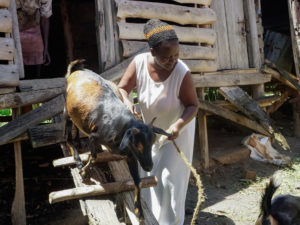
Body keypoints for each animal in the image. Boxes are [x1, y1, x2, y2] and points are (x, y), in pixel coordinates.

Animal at [64, 59, 170, 221]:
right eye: (137, 144)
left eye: (152, 143)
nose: (148, 167)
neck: (120, 127)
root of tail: (76, 69)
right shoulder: (94, 137)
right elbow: (94, 156)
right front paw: (84, 172)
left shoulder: (130, 156)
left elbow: (138, 181)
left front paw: (139, 210)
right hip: (66, 112)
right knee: (67, 138)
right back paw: (77, 158)